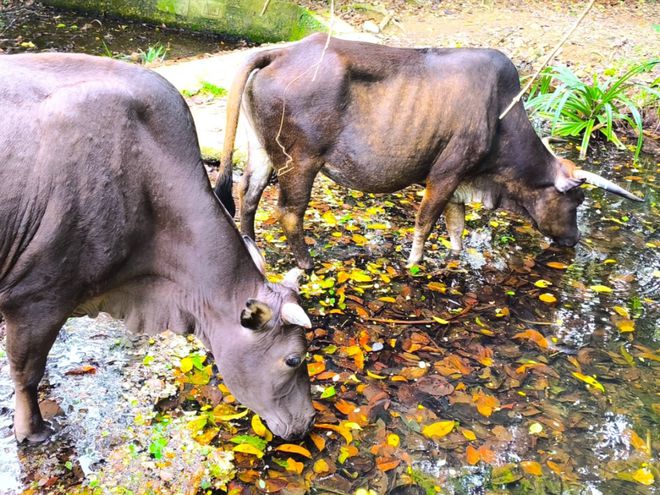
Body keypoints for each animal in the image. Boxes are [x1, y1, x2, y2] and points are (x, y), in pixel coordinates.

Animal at [215, 34, 640, 270]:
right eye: (576, 201)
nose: (574, 239)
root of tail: (280, 53)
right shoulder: (447, 171)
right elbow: (426, 220)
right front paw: (415, 262)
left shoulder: (460, 181)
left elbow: (456, 225)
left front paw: (457, 257)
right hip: (301, 160)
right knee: (288, 211)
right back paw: (305, 263)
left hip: (263, 150)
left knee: (247, 193)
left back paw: (251, 248)